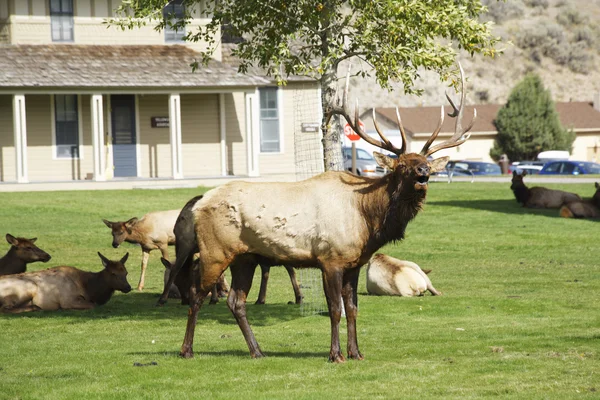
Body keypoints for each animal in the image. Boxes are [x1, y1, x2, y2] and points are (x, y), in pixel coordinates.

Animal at [0, 253, 131, 312]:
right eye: (113, 273)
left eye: (126, 272)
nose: (128, 287)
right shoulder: (67, 300)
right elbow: (92, 305)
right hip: (26, 287)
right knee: (4, 309)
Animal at [159, 62, 478, 362]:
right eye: (401, 165)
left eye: (427, 161)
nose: (423, 172)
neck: (368, 220)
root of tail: (199, 204)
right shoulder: (330, 259)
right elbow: (335, 309)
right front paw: (336, 354)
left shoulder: (354, 263)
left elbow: (353, 309)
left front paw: (356, 352)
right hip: (215, 251)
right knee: (196, 294)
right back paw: (186, 350)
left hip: (245, 258)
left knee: (236, 301)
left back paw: (257, 351)